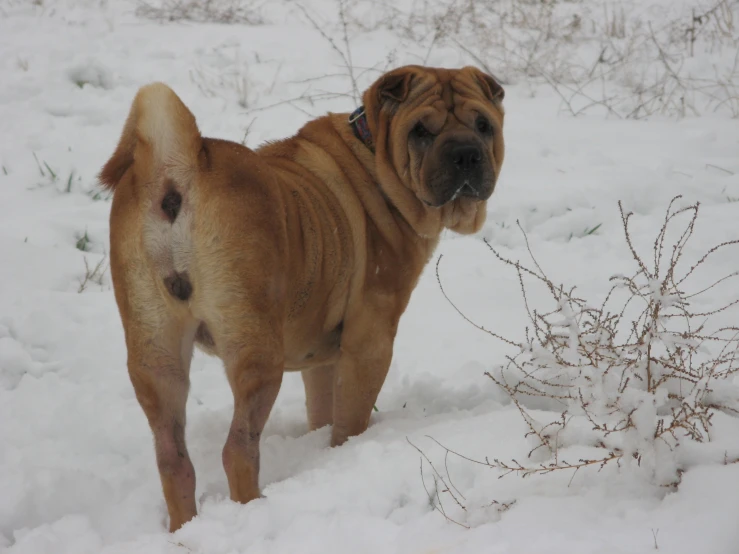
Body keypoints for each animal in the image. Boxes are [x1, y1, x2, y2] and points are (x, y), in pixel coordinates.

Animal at [99, 66, 502, 532]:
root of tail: (179, 168)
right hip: (256, 353)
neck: (376, 156)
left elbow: (322, 407)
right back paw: (252, 511)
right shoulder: (370, 342)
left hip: (155, 353)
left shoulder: (322, 358)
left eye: (483, 125)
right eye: (421, 131)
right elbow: (350, 420)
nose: (466, 155)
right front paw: (346, 454)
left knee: (172, 460)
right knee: (238, 449)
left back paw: (184, 530)